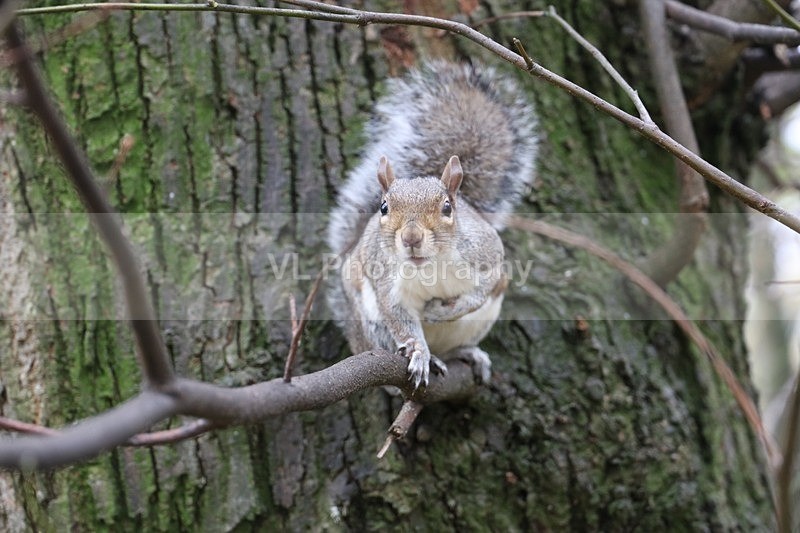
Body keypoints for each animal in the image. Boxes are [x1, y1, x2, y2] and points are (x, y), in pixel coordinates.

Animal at [326, 60, 538, 389]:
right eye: (384, 207)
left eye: (447, 207)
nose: (411, 237)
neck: (430, 265)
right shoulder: (388, 285)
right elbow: (401, 319)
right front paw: (418, 352)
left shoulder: (487, 256)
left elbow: (481, 291)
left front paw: (441, 311)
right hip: (369, 323)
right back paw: (430, 358)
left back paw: (467, 353)